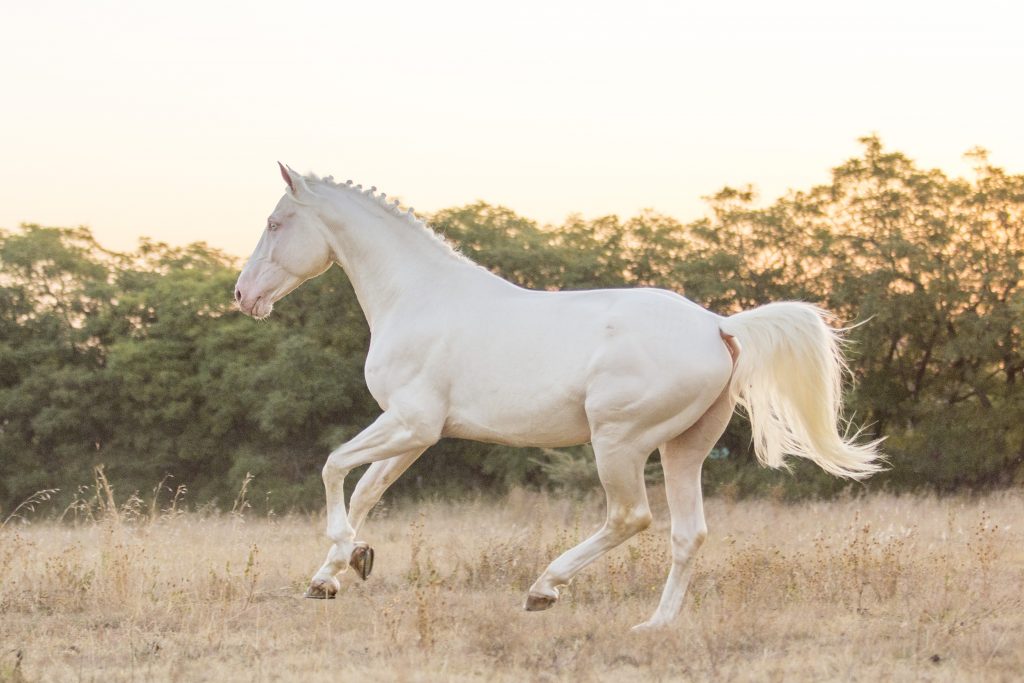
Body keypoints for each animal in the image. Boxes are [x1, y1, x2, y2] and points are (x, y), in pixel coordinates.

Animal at [234, 163, 880, 630]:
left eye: (275, 224)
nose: (242, 296)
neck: (417, 297)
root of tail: (719, 325)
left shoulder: (411, 423)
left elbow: (333, 467)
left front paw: (344, 555)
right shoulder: (416, 432)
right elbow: (366, 489)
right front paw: (334, 575)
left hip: (618, 442)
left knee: (631, 516)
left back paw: (544, 589)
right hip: (684, 448)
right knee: (687, 533)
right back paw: (654, 625)